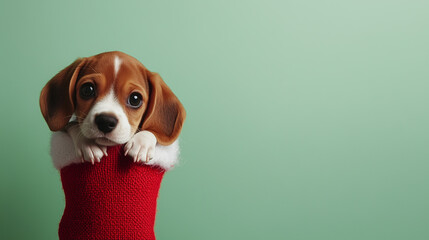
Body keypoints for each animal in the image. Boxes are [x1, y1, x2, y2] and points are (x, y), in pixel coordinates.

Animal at [40, 51, 186, 170]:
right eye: (87, 89)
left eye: (135, 99)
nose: (105, 121)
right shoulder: (63, 127)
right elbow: (73, 124)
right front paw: (87, 144)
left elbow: (153, 129)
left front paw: (142, 143)